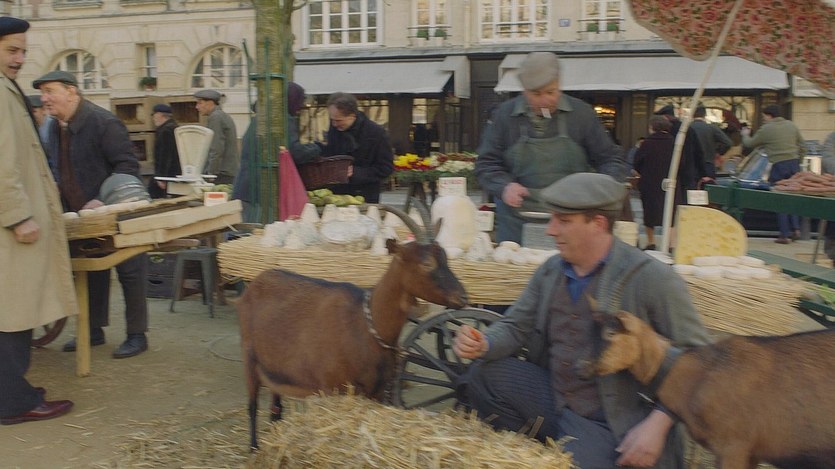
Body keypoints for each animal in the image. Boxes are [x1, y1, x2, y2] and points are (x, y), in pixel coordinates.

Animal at [237, 204, 468, 449]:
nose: (463, 297)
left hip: (275, 366)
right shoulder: (333, 388)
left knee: (275, 405)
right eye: (426, 263)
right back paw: (253, 447)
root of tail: (255, 284)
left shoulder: (376, 391)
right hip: (249, 356)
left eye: (445, 257)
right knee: (252, 405)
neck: (367, 325)